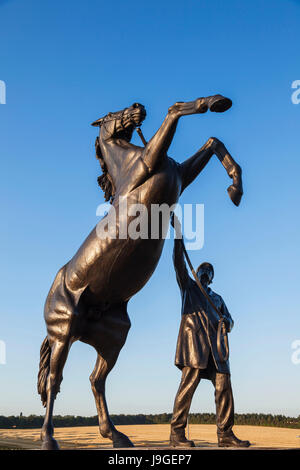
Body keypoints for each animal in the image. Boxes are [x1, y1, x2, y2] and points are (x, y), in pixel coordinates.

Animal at [38, 94, 243, 448]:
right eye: (110, 113)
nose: (137, 107)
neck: (129, 163)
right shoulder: (151, 161)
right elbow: (175, 111)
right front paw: (212, 103)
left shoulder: (179, 174)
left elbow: (213, 141)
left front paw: (235, 187)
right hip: (63, 332)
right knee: (54, 380)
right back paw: (49, 437)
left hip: (112, 340)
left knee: (96, 380)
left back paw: (116, 435)